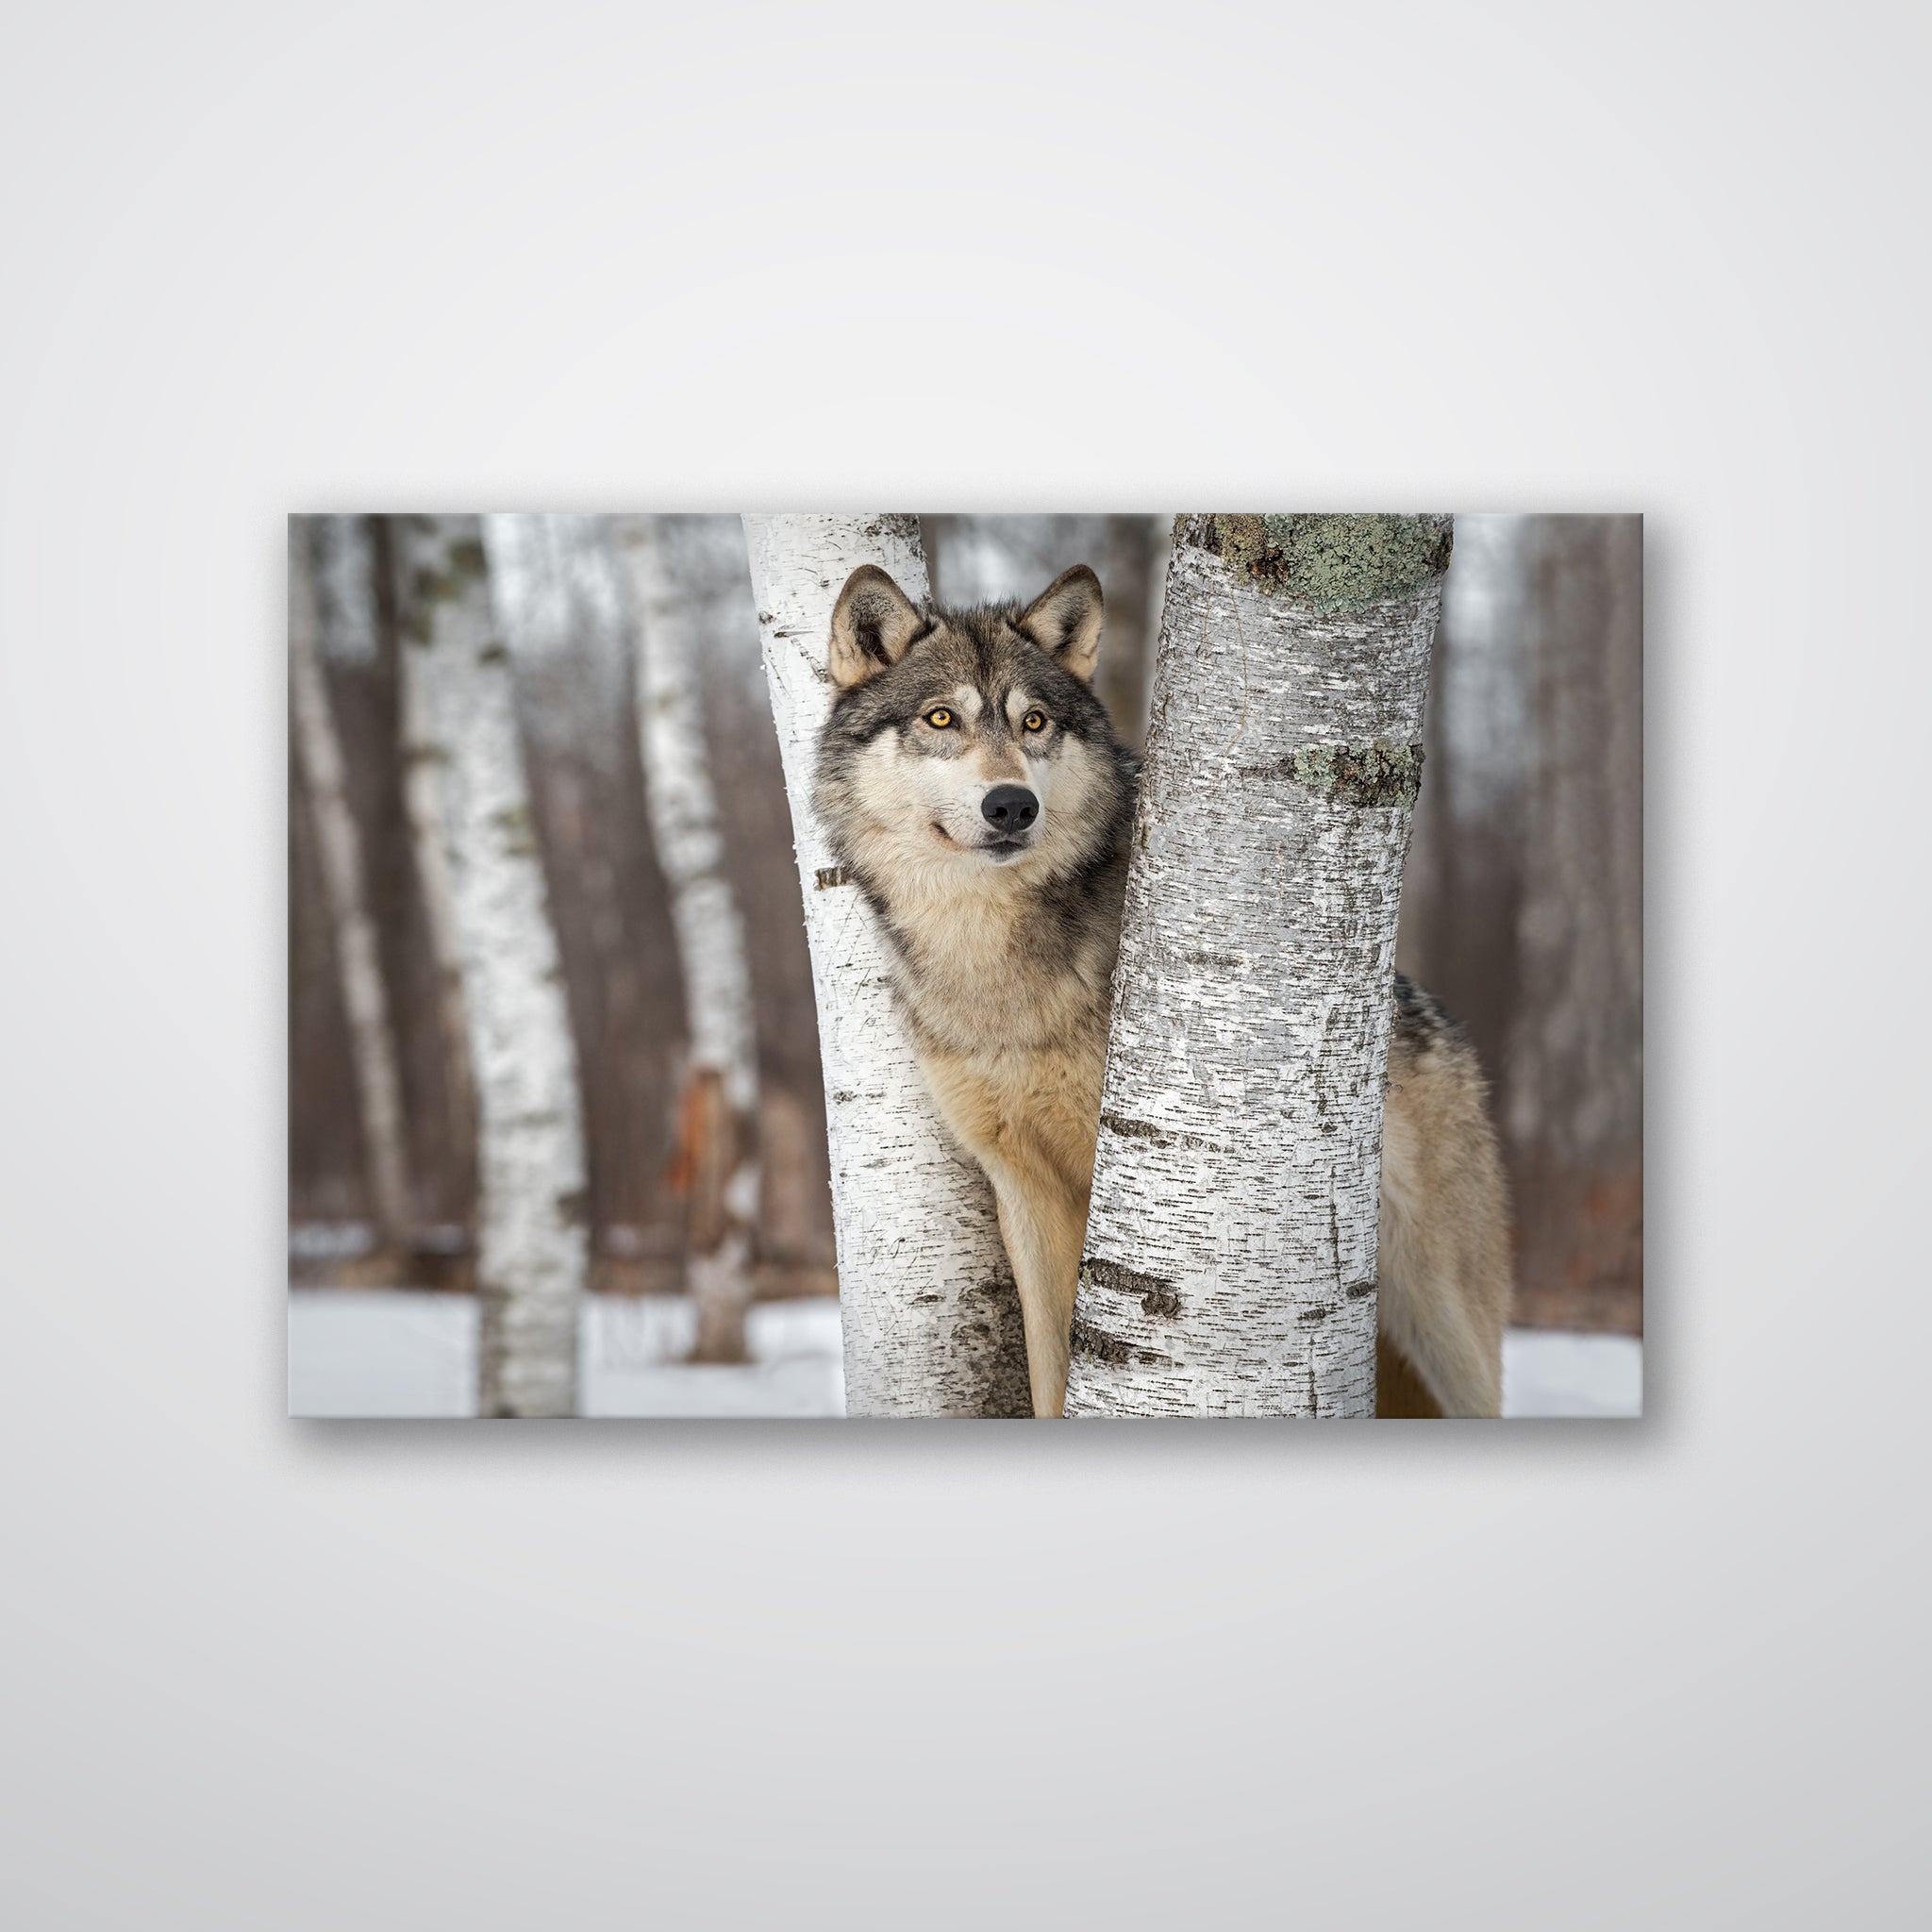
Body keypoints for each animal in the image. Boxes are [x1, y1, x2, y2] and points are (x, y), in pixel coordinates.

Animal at [814, 561, 1512, 1418]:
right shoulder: (1024, 1190)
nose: (1011, 805)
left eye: (1035, 722)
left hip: (1445, 1327)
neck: (993, 966)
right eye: (941, 717)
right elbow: (1050, 1373)